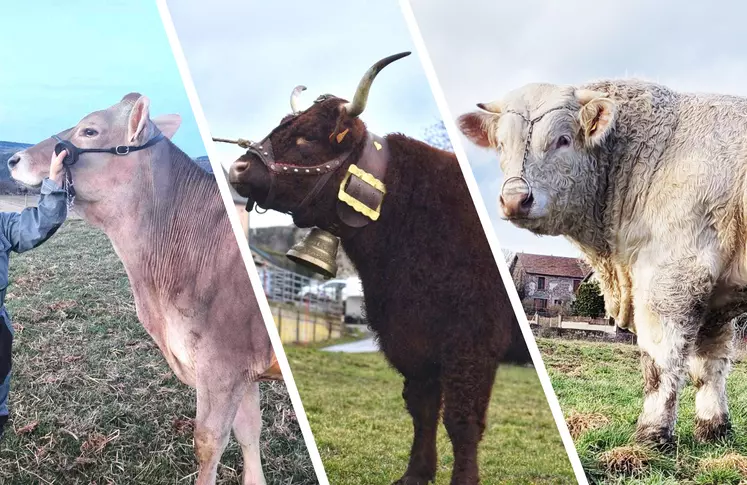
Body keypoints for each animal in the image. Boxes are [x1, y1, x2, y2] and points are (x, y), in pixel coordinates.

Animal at [6, 94, 280, 484]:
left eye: (89, 130)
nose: (14, 159)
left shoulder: (222, 365)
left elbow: (209, 442)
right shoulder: (242, 368)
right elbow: (248, 433)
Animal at [228, 53, 532, 484]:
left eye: (307, 139)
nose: (237, 168)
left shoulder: (472, 344)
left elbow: (461, 422)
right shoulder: (412, 344)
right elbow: (422, 411)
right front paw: (415, 474)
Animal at [458, 80, 744, 446]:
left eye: (563, 139)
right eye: (501, 144)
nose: (514, 199)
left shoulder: (675, 275)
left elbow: (660, 362)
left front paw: (650, 436)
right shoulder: (716, 298)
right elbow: (709, 365)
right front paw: (713, 429)